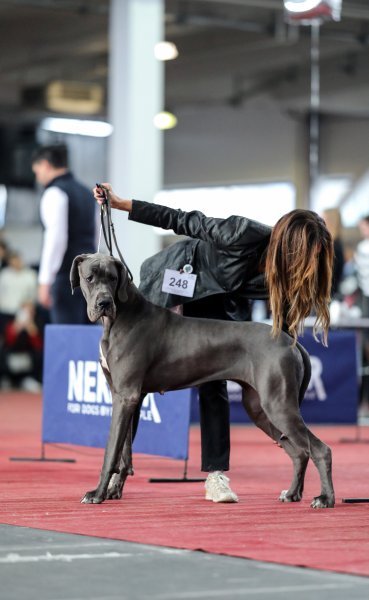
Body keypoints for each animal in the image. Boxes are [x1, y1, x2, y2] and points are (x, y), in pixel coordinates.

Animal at [70, 251, 334, 508]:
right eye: (90, 278)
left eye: (113, 278)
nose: (104, 303)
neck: (121, 316)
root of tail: (290, 340)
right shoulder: (127, 397)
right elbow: (124, 451)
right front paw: (113, 490)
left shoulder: (126, 396)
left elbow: (110, 451)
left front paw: (97, 493)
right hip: (259, 408)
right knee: (299, 452)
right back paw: (292, 493)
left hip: (278, 404)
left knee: (320, 449)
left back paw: (325, 498)